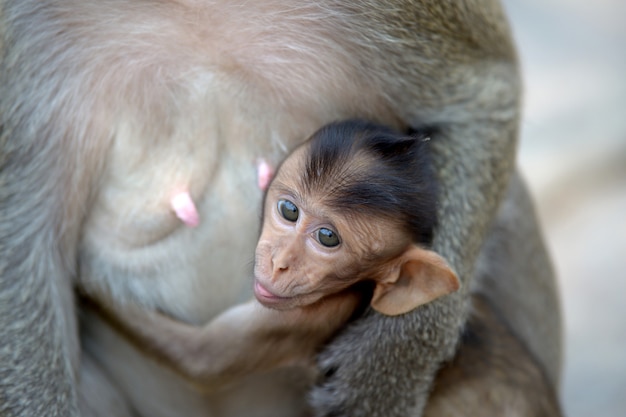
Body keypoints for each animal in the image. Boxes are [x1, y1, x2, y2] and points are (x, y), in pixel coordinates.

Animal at [88, 118, 458, 388]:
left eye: (327, 238)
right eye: (289, 211)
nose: (279, 263)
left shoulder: (297, 320)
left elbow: (200, 356)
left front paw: (87, 275)